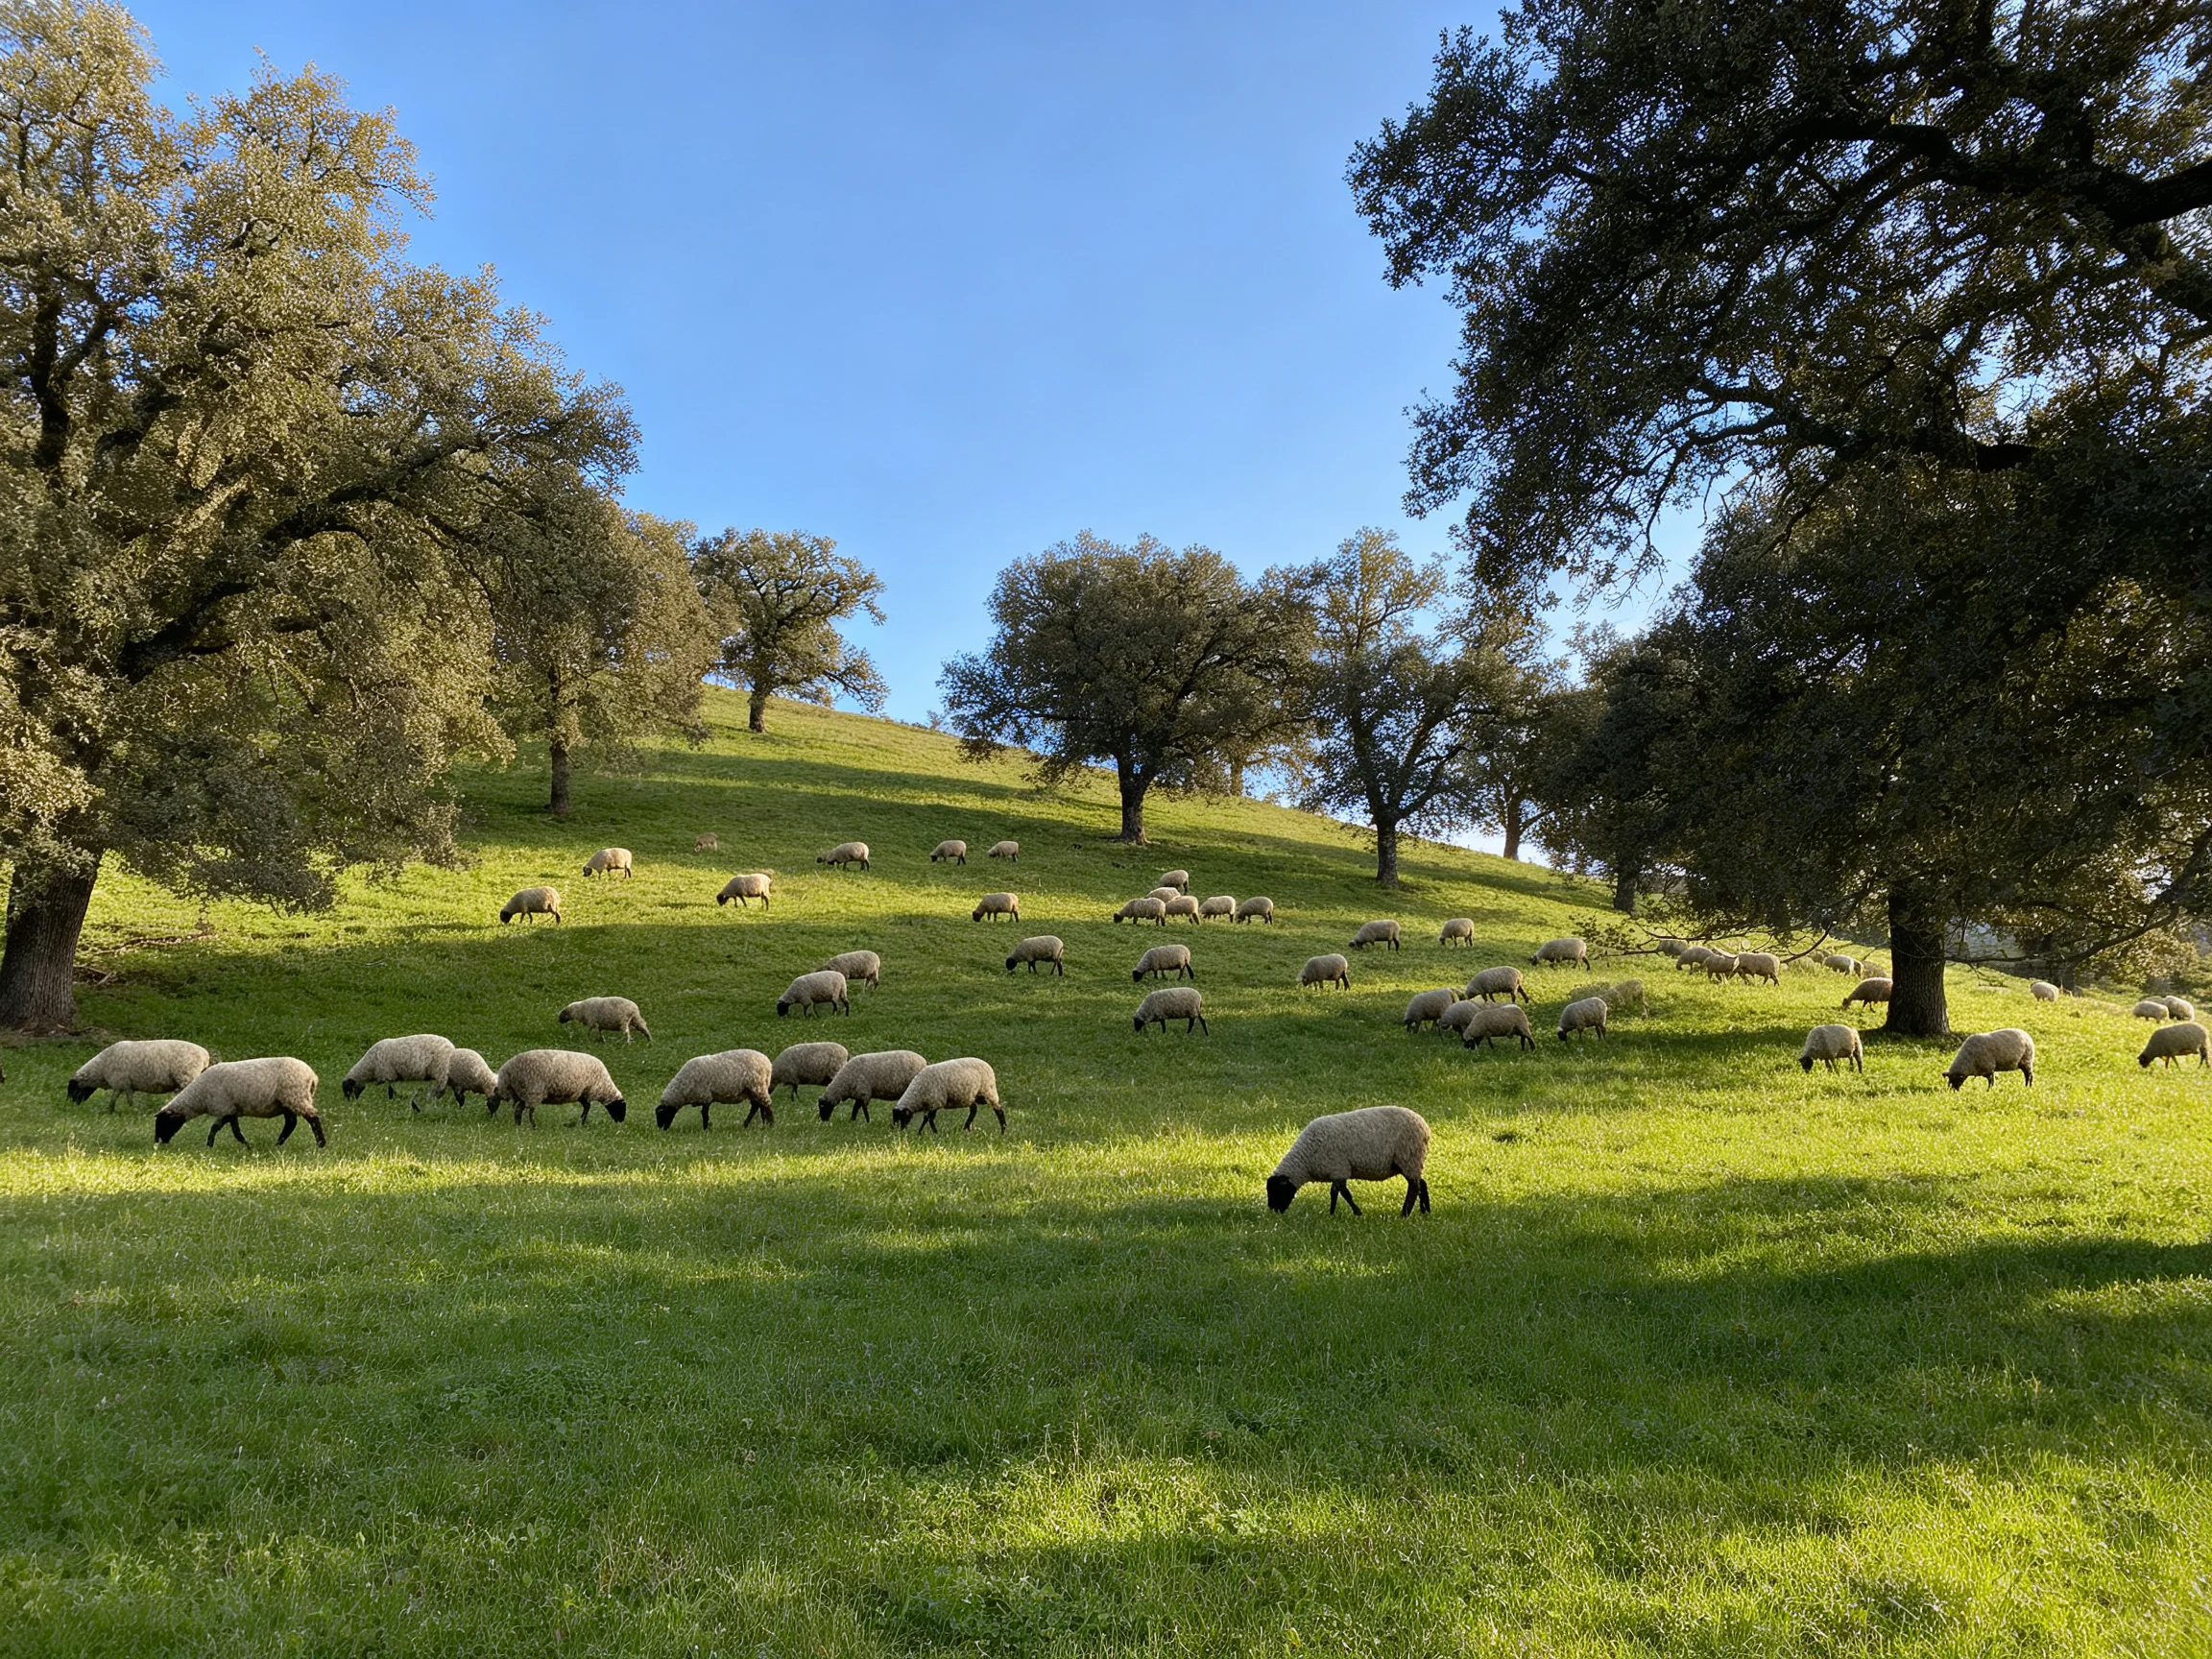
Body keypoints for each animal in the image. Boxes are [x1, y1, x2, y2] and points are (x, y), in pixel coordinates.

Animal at [67, 1039, 211, 1112]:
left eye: (73, 1089)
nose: (71, 1105)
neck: (101, 1068)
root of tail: (205, 1055)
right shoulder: (127, 1085)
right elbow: (127, 1099)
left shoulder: (120, 1082)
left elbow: (115, 1098)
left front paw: (112, 1110)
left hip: (187, 1077)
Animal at [154, 1057, 325, 1148]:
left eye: (164, 1123)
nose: (159, 1143)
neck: (199, 1096)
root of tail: (312, 1076)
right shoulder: (231, 1110)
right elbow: (235, 1131)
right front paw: (247, 1146)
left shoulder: (223, 1107)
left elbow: (216, 1128)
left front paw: (209, 1145)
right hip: (288, 1102)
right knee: (291, 1123)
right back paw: (278, 1144)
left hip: (296, 1097)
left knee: (312, 1118)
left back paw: (321, 1144)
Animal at [489, 1048, 626, 1126]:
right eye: (621, 1108)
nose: (620, 1122)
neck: (605, 1088)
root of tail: (507, 1070)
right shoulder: (587, 1092)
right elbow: (588, 1107)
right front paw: (582, 1121)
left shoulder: (581, 1093)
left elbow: (587, 1107)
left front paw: (581, 1121)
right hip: (533, 1091)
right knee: (529, 1111)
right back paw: (533, 1126)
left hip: (520, 1092)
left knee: (517, 1110)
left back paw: (518, 1124)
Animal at [1267, 1105, 1430, 1217]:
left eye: (1277, 1190)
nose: (1274, 1211)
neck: (1306, 1159)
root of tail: (1425, 1127)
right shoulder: (1336, 1171)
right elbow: (1335, 1193)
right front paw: (1332, 1213)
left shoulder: (1340, 1168)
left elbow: (1344, 1193)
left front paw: (1357, 1212)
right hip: (1408, 1163)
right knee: (1421, 1183)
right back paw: (1425, 1211)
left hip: (1408, 1158)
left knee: (1414, 1187)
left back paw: (1405, 1214)